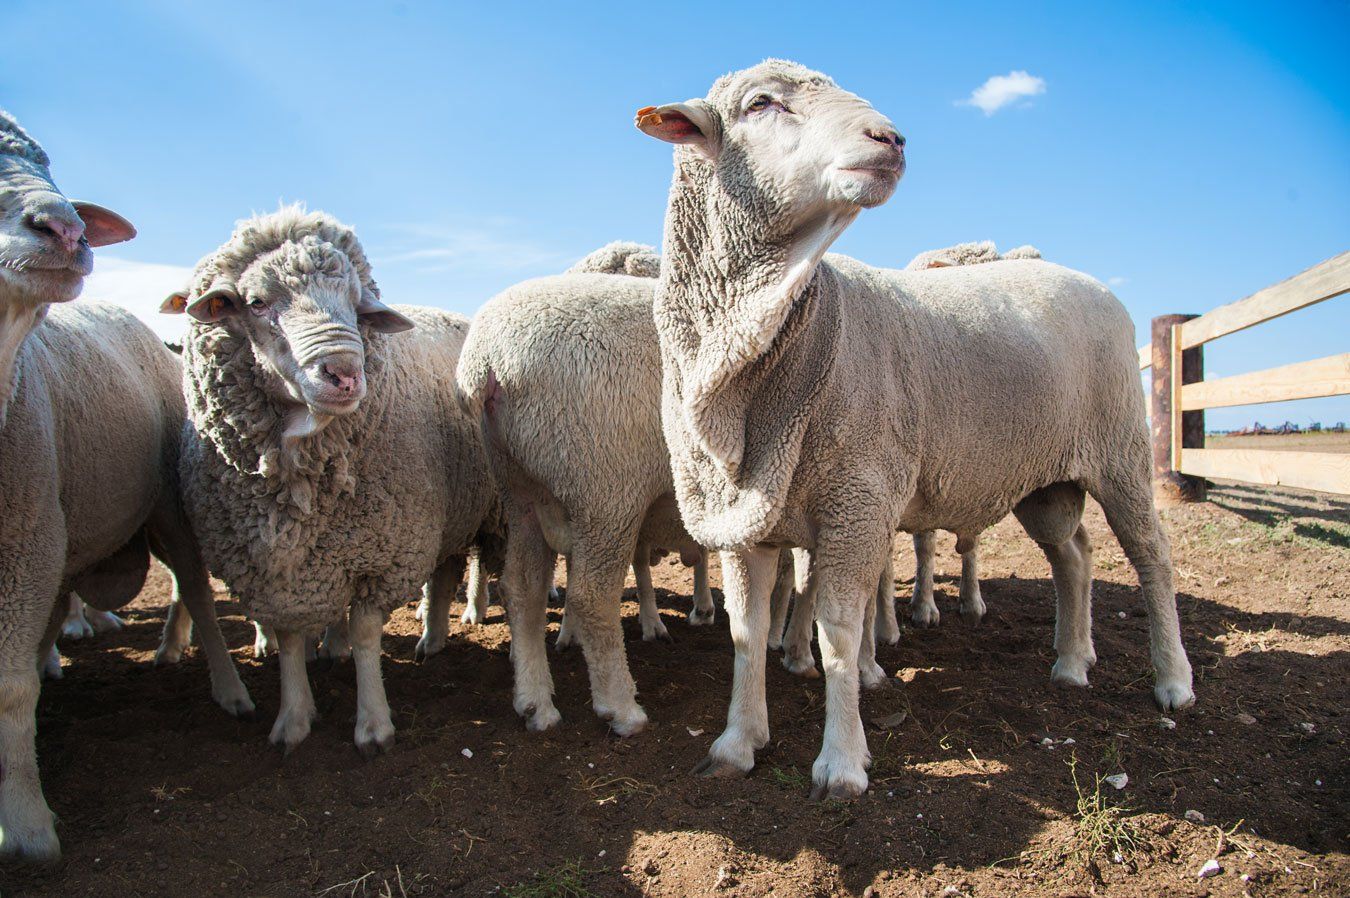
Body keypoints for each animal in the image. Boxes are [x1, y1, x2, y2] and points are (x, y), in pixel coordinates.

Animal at [0, 109, 252, 861]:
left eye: (47, 164)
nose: (65, 230)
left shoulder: (28, 536)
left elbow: (10, 687)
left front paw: (26, 823)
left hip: (164, 508)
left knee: (194, 590)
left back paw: (224, 685)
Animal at [163, 205, 496, 754]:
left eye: (357, 308)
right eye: (255, 303)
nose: (343, 372)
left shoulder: (381, 552)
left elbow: (365, 633)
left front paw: (374, 724)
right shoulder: (273, 568)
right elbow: (289, 637)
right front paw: (293, 718)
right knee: (443, 571)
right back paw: (422, 639)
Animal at [456, 241, 716, 735]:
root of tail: (487, 362)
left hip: (521, 490)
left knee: (522, 587)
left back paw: (535, 703)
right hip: (606, 486)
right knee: (592, 597)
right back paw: (621, 707)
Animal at [635, 60, 1194, 799]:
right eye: (760, 103)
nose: (891, 139)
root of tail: (1090, 280)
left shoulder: (858, 499)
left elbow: (839, 634)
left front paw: (842, 761)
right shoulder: (744, 515)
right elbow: (746, 632)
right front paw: (737, 742)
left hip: (1122, 449)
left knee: (1152, 556)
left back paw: (1174, 681)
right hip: (1046, 475)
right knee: (1074, 555)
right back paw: (1072, 662)